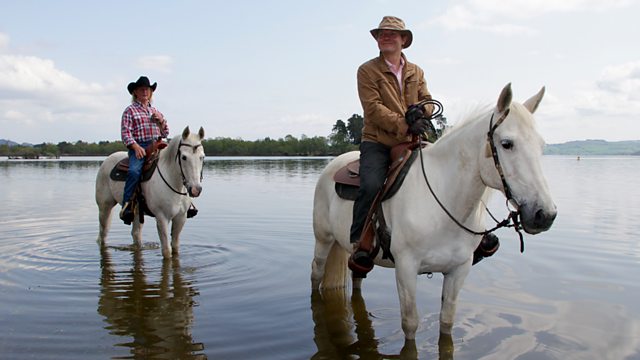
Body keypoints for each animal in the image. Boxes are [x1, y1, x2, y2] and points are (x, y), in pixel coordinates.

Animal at [95, 125, 205, 258]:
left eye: (202, 157)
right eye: (184, 157)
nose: (195, 189)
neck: (173, 181)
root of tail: (107, 160)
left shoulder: (181, 218)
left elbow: (175, 247)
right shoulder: (162, 218)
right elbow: (167, 250)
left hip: (137, 212)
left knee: (136, 234)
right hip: (104, 207)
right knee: (103, 234)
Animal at [310, 83, 556, 340]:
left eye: (541, 146)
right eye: (507, 143)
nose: (544, 214)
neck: (443, 202)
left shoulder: (459, 270)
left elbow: (447, 321)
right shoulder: (406, 268)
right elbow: (410, 323)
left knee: (357, 275)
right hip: (323, 239)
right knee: (316, 274)